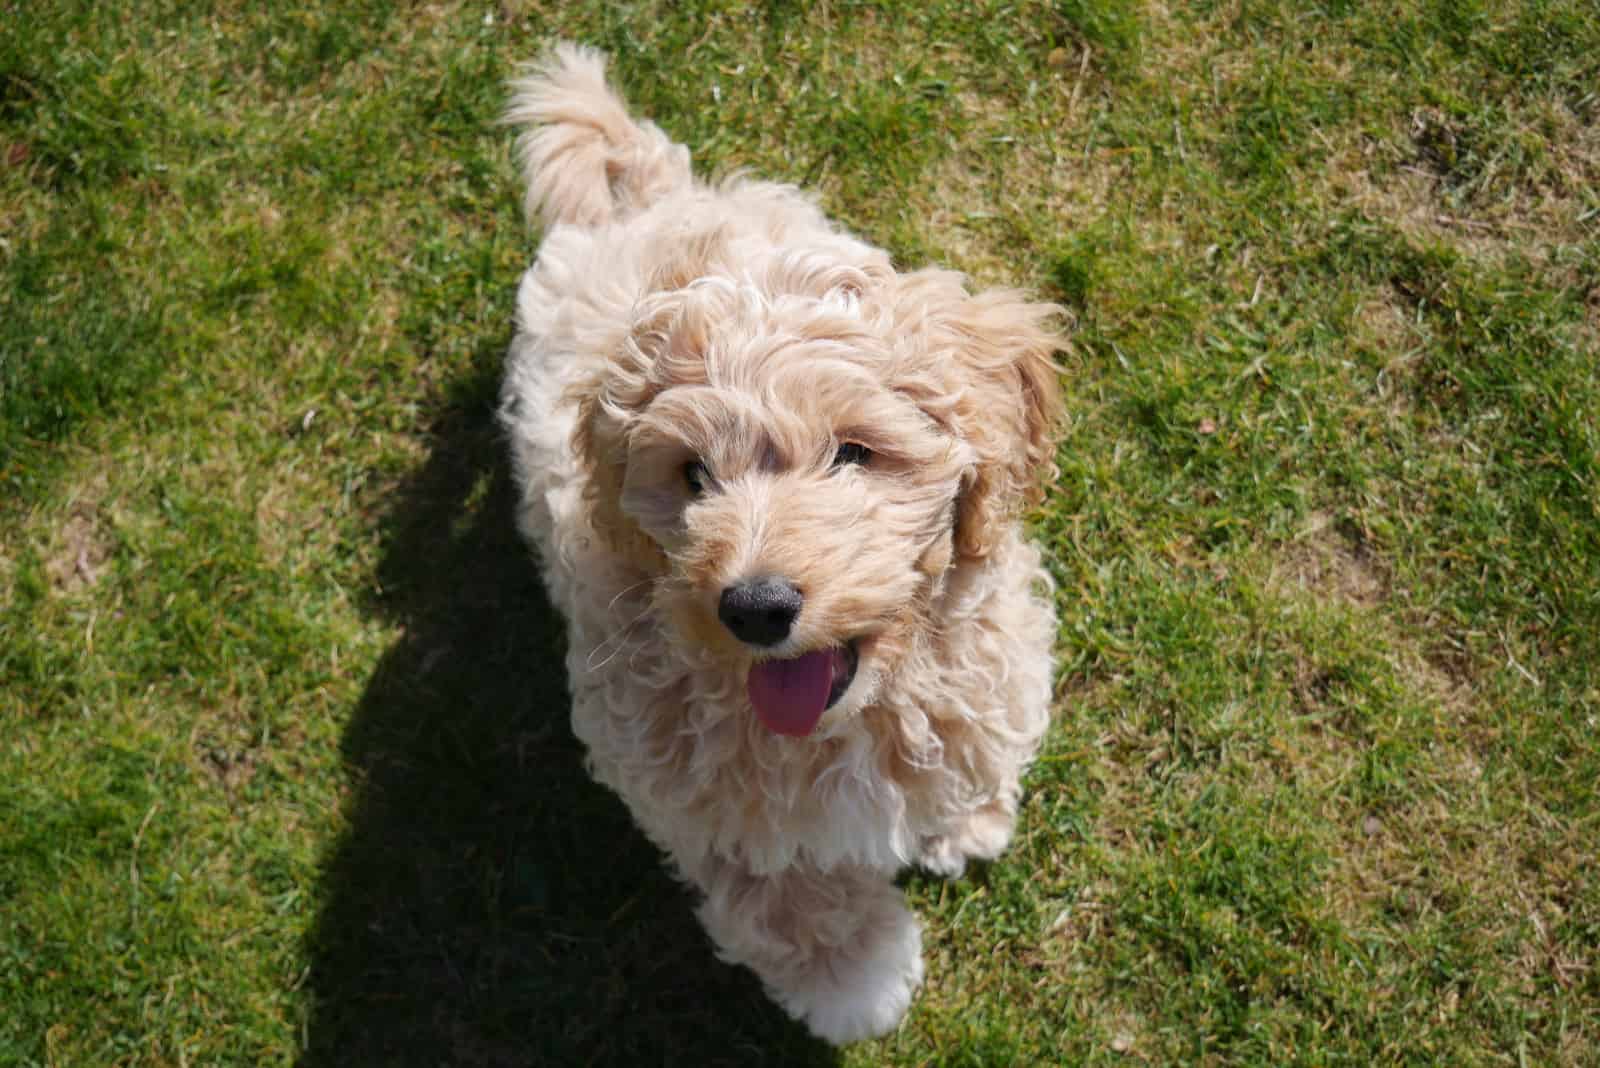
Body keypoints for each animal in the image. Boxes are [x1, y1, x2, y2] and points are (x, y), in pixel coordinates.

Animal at [502, 45, 1062, 1048]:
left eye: (853, 454)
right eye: (693, 475)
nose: (755, 607)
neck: (850, 720)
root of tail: (649, 199)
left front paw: (965, 818)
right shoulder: (698, 799)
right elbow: (788, 898)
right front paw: (857, 982)